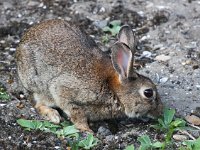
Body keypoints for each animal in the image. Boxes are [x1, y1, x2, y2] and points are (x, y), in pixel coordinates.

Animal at [15, 19, 162, 132]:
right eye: (148, 93)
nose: (160, 111)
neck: (113, 89)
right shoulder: (63, 90)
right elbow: (76, 112)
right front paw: (87, 130)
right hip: (37, 86)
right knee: (38, 104)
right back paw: (53, 116)